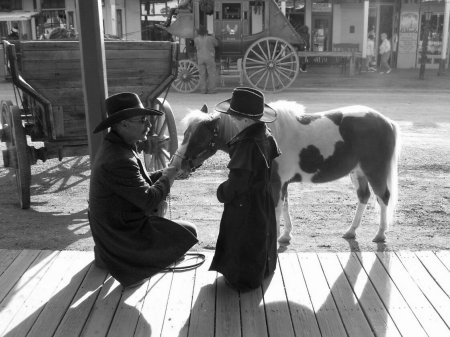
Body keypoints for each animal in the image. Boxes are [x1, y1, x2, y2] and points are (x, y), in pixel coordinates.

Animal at [172, 101, 400, 243]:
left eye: (199, 137)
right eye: (186, 133)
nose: (178, 165)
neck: (265, 134)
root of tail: (387, 121)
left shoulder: (275, 183)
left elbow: (276, 209)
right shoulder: (281, 183)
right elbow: (285, 206)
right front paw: (286, 236)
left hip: (375, 171)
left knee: (383, 198)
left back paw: (380, 234)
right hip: (358, 172)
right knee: (364, 196)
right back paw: (351, 231)